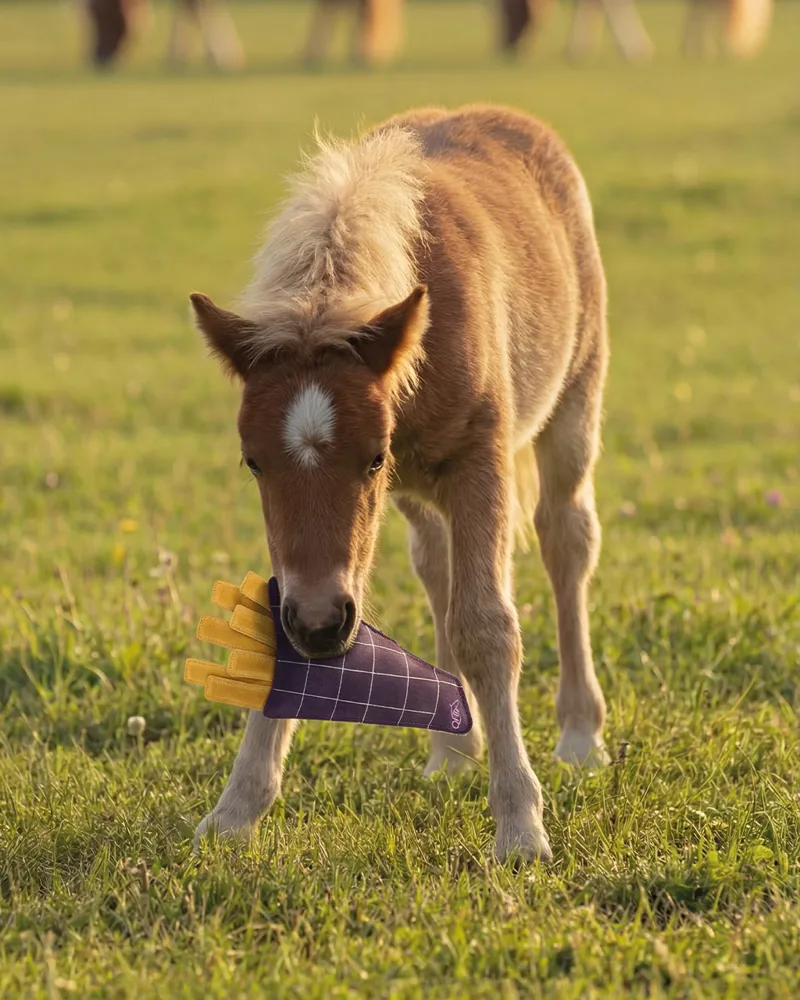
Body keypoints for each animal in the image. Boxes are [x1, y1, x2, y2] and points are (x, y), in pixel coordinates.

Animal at [190, 105, 610, 861]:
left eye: (372, 457)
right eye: (252, 462)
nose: (322, 624)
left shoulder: (479, 462)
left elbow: (487, 627)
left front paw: (520, 826)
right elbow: (282, 631)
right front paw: (233, 812)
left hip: (573, 404)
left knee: (566, 541)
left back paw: (580, 734)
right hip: (417, 499)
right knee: (437, 567)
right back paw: (453, 751)